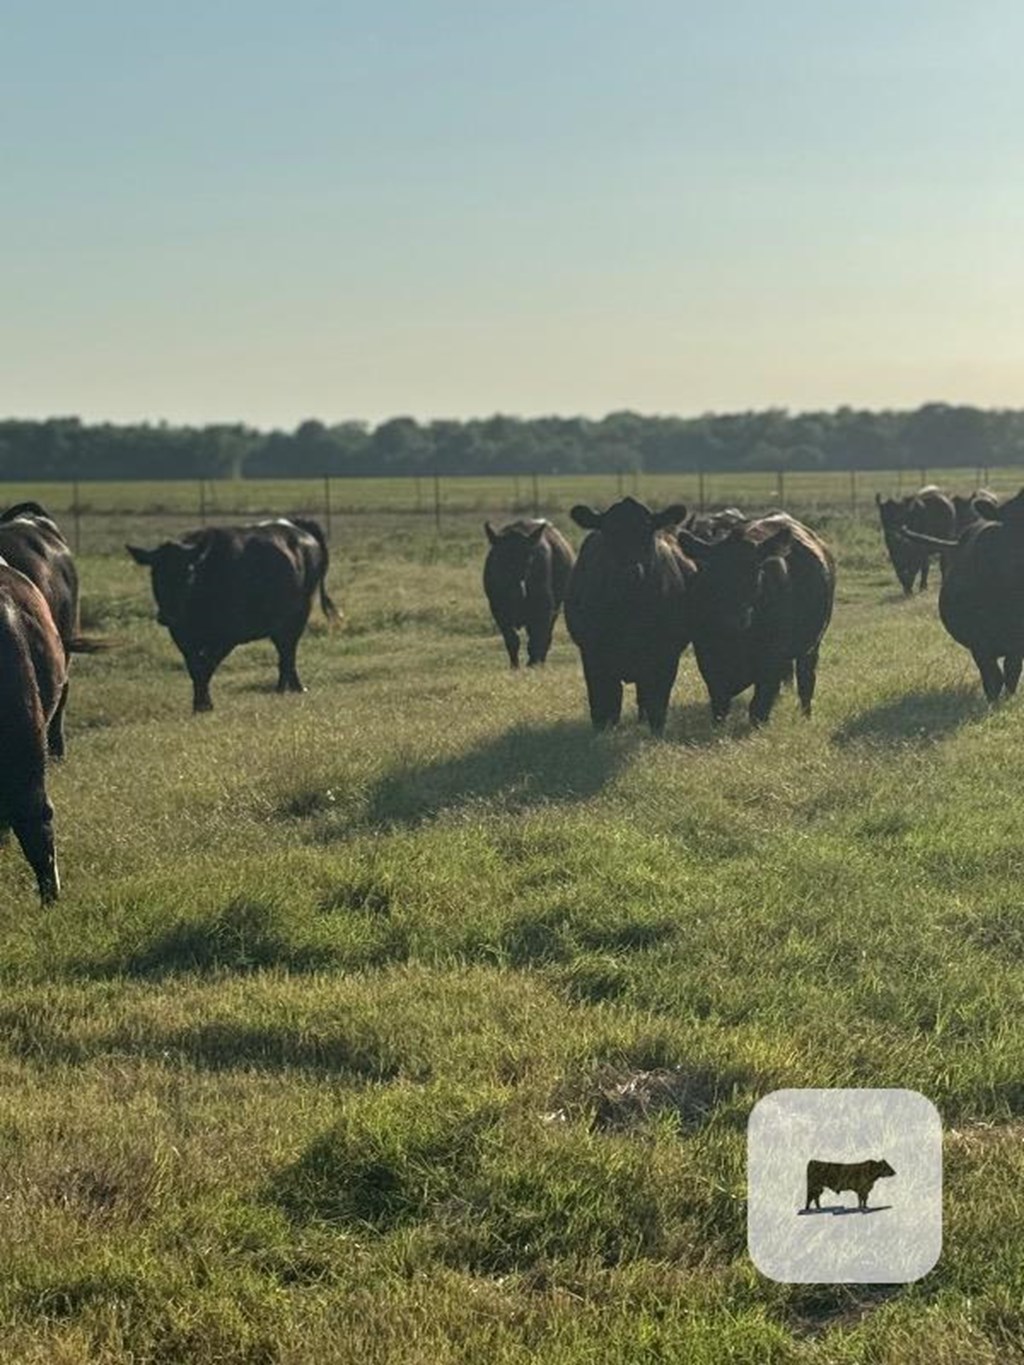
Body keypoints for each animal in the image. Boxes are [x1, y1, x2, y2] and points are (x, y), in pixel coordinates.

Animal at [127, 518, 340, 713]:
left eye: (188, 571)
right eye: (154, 573)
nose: (167, 616)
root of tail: (295, 526)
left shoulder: (228, 636)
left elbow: (207, 665)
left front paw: (205, 704)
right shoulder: (181, 636)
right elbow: (194, 667)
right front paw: (199, 704)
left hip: (299, 614)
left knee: (289, 650)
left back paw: (294, 687)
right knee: (284, 649)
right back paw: (284, 687)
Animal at [483, 519, 575, 668]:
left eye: (529, 557)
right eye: (500, 557)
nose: (517, 590)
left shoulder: (544, 607)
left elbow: (538, 638)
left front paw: (533, 664)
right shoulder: (497, 609)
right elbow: (512, 639)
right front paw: (514, 666)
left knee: (545, 636)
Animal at [564, 497, 693, 735]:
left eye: (647, 532)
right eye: (609, 532)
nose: (629, 572)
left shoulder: (666, 655)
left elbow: (657, 702)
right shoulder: (593, 654)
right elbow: (602, 703)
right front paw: (602, 734)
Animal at [677, 514, 835, 726]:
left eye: (756, 572)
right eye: (713, 574)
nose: (735, 618)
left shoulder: (772, 655)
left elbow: (759, 704)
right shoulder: (706, 654)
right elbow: (719, 700)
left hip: (812, 645)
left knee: (806, 680)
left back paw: (805, 716)